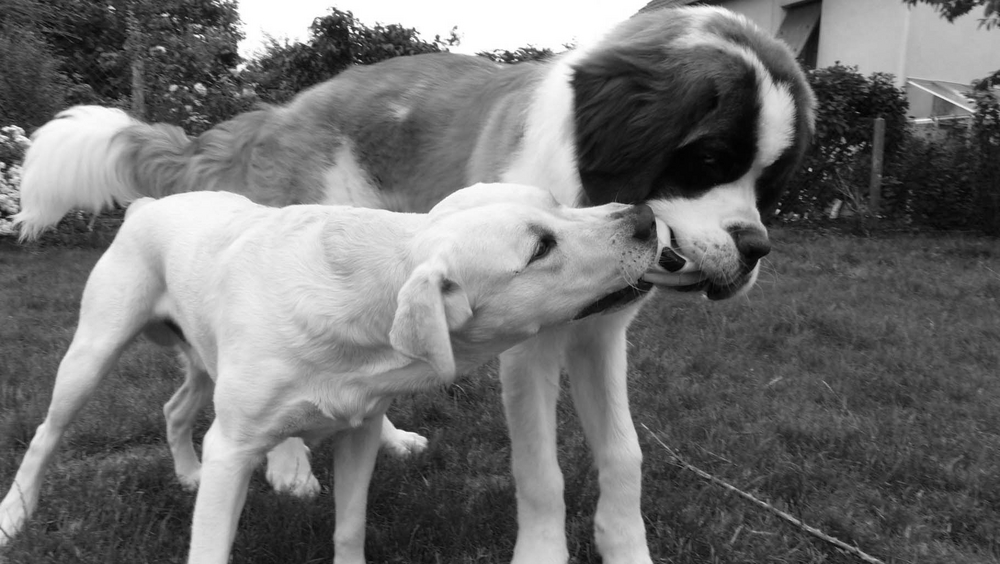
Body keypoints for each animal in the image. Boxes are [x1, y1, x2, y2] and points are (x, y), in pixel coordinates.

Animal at [1, 184, 664, 564]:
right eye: (540, 247)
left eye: (557, 206)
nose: (646, 217)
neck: (360, 292)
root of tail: (147, 204)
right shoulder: (234, 448)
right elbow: (210, 546)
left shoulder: (359, 433)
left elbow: (349, 528)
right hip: (92, 352)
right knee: (46, 435)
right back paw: (14, 517)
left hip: (203, 361)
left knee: (175, 408)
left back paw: (187, 472)